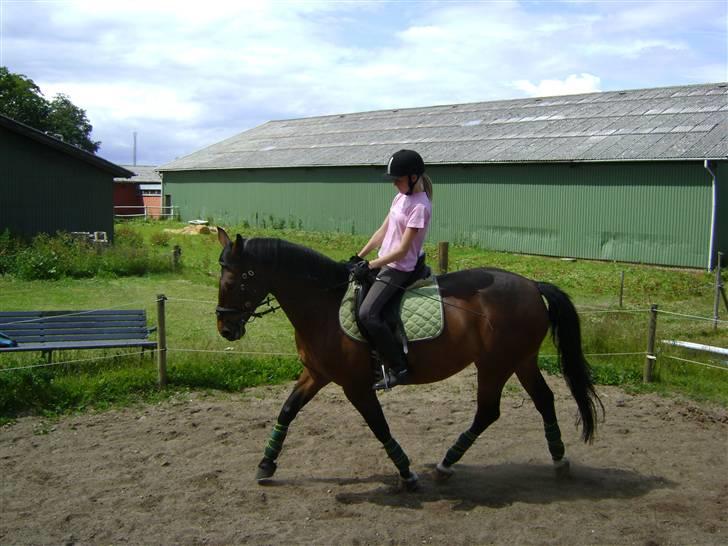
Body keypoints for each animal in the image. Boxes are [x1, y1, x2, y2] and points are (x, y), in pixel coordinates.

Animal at [213, 227, 600, 486]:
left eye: (232, 282)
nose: (225, 329)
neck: (324, 306)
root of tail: (533, 285)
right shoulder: (316, 374)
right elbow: (288, 410)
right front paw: (266, 465)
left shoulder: (356, 385)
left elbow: (378, 425)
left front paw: (406, 472)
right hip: (521, 361)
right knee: (544, 400)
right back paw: (559, 460)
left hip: (495, 364)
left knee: (488, 412)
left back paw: (446, 464)